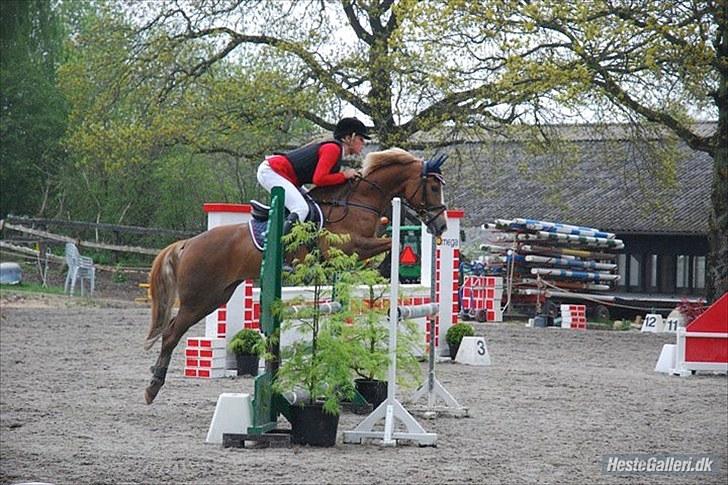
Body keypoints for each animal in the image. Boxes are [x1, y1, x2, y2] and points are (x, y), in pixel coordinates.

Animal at [143, 147, 448, 404]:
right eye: (433, 187)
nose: (442, 226)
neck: (359, 201)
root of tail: (188, 243)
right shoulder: (351, 246)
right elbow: (389, 244)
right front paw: (388, 263)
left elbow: (385, 242)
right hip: (199, 298)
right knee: (170, 334)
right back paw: (153, 387)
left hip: (216, 296)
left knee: (174, 330)